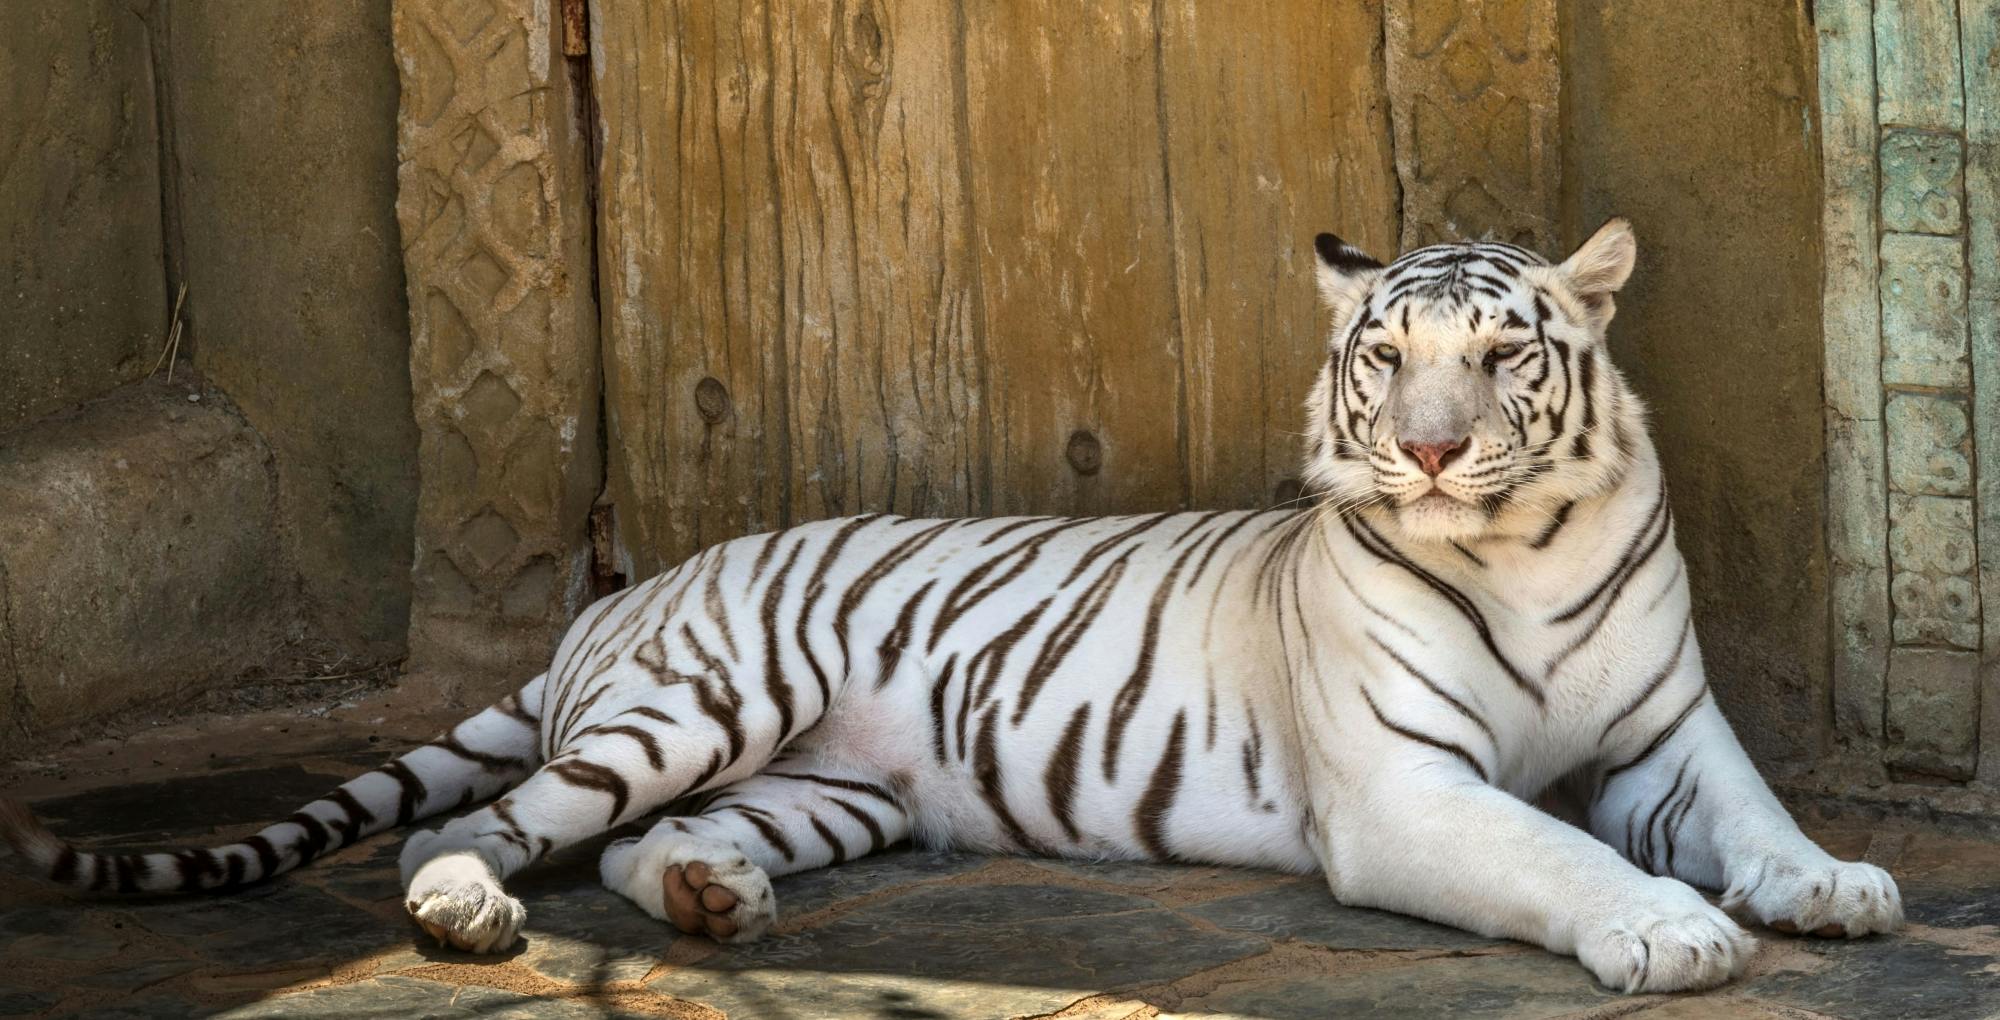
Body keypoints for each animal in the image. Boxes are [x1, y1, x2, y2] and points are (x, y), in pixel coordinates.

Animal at [0, 219, 1896, 992]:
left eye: (1504, 355)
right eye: (1387, 359)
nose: (1428, 454)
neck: (1523, 547)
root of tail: (619, 597)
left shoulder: (1669, 733)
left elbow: (1752, 814)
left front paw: (1832, 888)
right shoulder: (1408, 791)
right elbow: (1564, 852)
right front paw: (1671, 932)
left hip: (828, 783)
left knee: (635, 848)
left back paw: (711, 905)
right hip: (708, 700)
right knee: (484, 825)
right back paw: (472, 910)